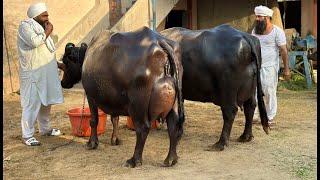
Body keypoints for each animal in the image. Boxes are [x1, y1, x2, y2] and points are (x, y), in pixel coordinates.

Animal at [59, 26, 184, 167]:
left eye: (66, 62)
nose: (63, 83)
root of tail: (159, 41)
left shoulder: (91, 97)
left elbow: (93, 120)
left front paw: (92, 143)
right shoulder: (114, 99)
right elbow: (115, 119)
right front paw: (115, 139)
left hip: (137, 104)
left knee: (143, 128)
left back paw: (134, 160)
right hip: (174, 103)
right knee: (173, 127)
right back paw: (171, 159)